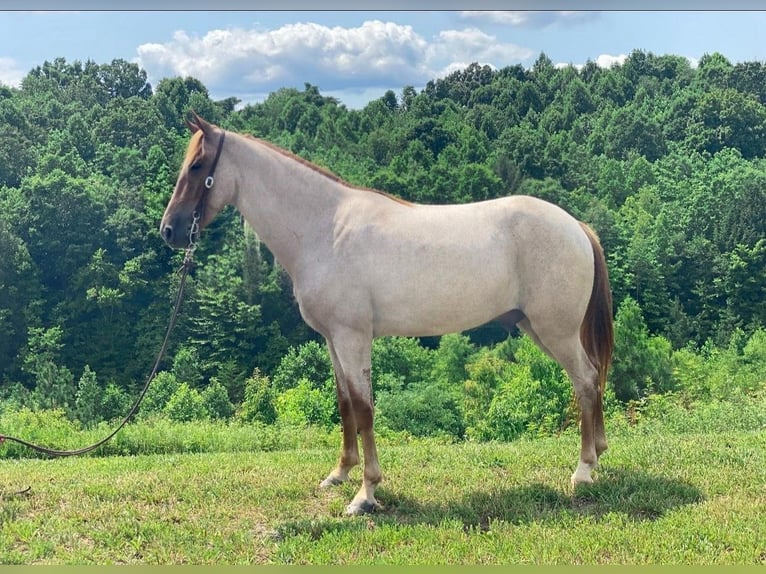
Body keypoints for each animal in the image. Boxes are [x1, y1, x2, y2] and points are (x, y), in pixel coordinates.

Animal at [162, 112, 616, 516]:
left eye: (197, 165)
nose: (170, 230)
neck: (325, 228)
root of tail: (576, 226)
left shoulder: (353, 338)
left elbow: (364, 409)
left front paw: (366, 493)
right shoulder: (334, 340)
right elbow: (345, 403)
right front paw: (339, 474)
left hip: (555, 332)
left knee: (585, 381)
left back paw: (583, 471)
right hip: (537, 328)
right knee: (592, 378)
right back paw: (599, 455)